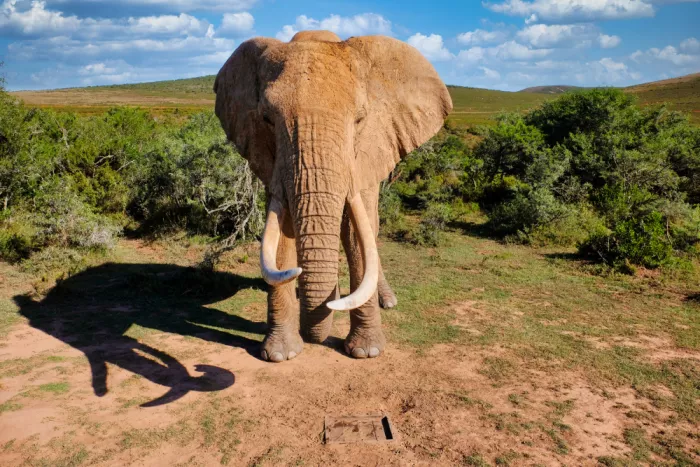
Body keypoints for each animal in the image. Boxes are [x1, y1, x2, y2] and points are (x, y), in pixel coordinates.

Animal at [214, 30, 452, 362]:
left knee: (370, 228)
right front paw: (280, 355)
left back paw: (382, 301)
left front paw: (366, 352)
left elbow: (355, 234)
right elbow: (281, 234)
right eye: (267, 119)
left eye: (360, 119)